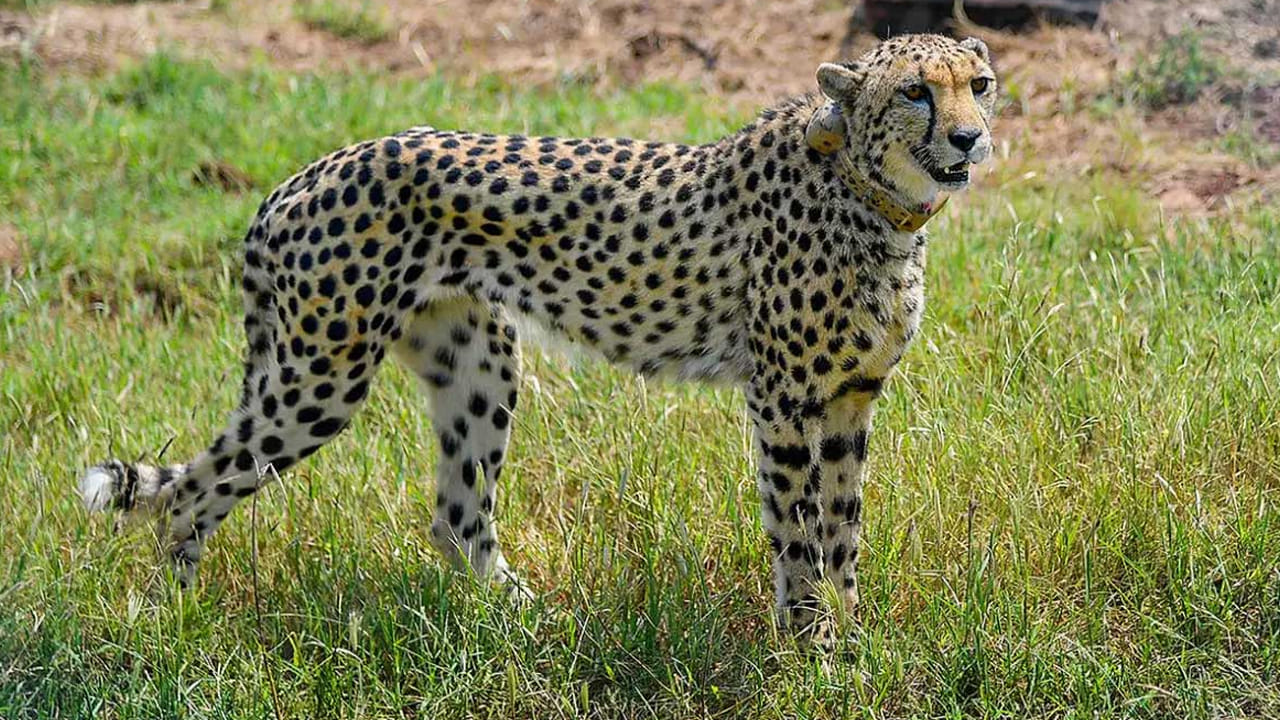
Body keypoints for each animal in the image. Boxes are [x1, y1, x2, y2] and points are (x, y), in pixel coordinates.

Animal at [78, 33, 998, 639]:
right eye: (916, 91)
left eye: (980, 84)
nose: (970, 137)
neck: (875, 197)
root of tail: (301, 176)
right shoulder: (782, 401)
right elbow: (798, 535)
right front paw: (813, 649)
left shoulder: (849, 399)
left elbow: (843, 531)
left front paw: (854, 642)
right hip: (320, 377)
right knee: (193, 491)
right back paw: (173, 620)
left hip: (478, 362)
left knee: (457, 515)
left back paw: (528, 621)